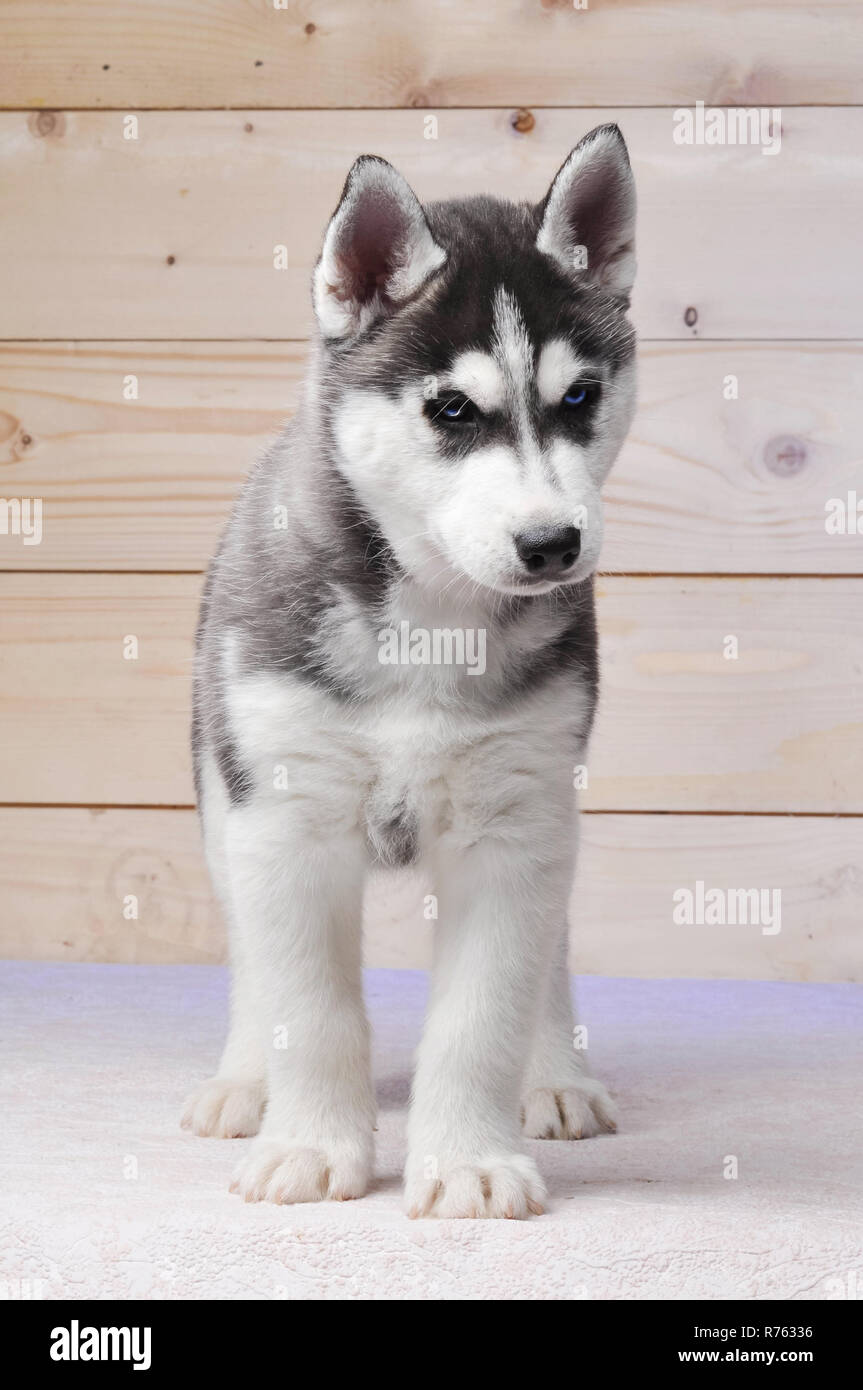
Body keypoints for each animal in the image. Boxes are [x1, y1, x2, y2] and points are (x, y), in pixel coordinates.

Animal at [182, 127, 636, 1217]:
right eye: (452, 409)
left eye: (579, 398)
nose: (552, 544)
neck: (429, 623)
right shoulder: (285, 821)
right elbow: (307, 1006)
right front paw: (309, 1143)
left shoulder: (515, 822)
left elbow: (485, 1012)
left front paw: (470, 1157)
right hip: (223, 803)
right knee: (250, 956)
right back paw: (243, 1083)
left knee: (551, 949)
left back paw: (555, 1075)